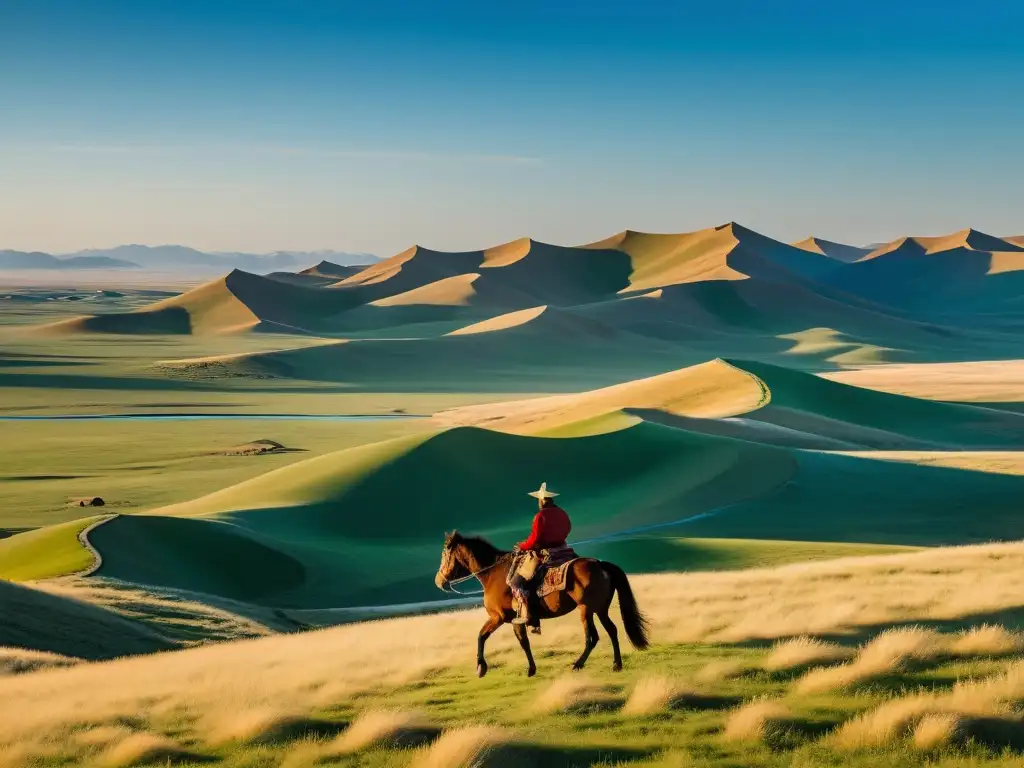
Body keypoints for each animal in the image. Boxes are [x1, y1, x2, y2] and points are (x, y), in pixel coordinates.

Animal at [432, 532, 647, 675]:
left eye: (444, 555)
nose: (439, 581)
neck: (493, 573)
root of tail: (600, 564)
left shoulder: (497, 617)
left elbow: (481, 636)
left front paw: (480, 668)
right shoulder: (516, 620)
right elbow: (523, 642)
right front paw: (531, 669)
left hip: (585, 610)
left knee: (592, 637)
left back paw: (577, 664)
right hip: (600, 610)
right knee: (612, 630)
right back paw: (616, 664)